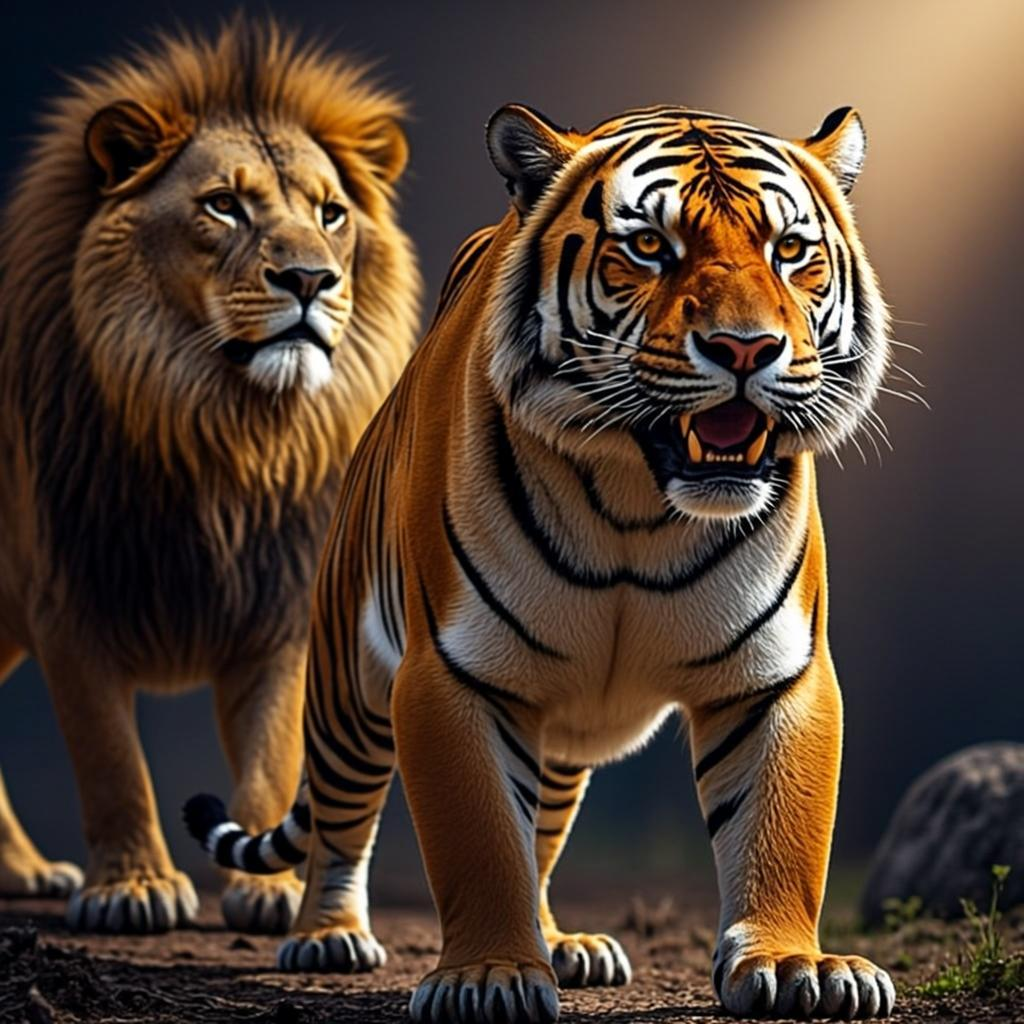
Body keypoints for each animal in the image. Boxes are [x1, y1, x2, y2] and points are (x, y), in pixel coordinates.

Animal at [187, 101, 895, 1021]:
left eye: (789, 249)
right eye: (650, 246)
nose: (747, 349)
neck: (639, 504)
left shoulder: (777, 674)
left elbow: (781, 828)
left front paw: (794, 965)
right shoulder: (453, 673)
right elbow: (482, 839)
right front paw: (488, 976)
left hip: (555, 734)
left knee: (544, 832)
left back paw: (565, 944)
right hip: (347, 690)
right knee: (342, 820)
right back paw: (327, 936)